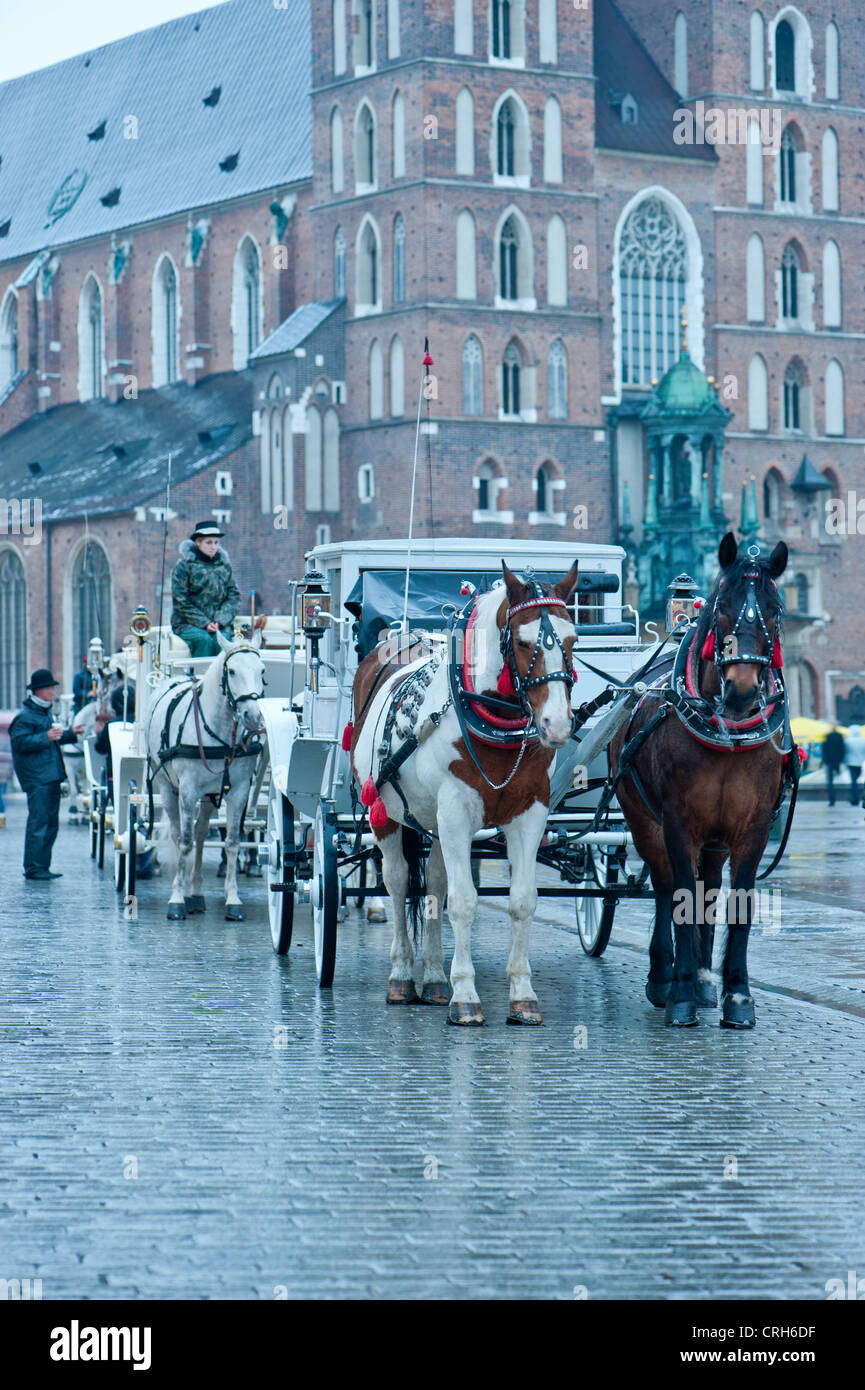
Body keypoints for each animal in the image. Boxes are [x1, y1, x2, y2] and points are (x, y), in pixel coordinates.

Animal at [147, 633, 265, 917]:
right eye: (232, 671)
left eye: (262, 671)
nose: (253, 716)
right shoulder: (187, 791)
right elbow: (185, 842)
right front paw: (177, 899)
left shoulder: (238, 791)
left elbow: (232, 842)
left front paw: (233, 899)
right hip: (167, 788)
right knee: (180, 835)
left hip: (210, 794)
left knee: (201, 833)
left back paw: (196, 892)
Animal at [349, 558, 578, 1028]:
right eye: (523, 643)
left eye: (572, 640)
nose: (558, 725)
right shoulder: (455, 813)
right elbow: (464, 902)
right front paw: (466, 997)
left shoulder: (529, 814)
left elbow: (521, 901)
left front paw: (522, 996)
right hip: (388, 817)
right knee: (398, 882)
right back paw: (403, 977)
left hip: (434, 823)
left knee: (434, 885)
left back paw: (435, 979)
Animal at [609, 530, 795, 1034]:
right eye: (724, 604)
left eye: (775, 608)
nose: (744, 689)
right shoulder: (676, 822)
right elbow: (678, 896)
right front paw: (681, 994)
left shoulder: (752, 828)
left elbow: (739, 903)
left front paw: (737, 995)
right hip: (643, 820)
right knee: (663, 885)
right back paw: (666, 977)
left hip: (715, 839)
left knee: (708, 887)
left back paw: (706, 981)